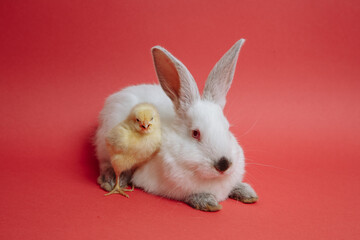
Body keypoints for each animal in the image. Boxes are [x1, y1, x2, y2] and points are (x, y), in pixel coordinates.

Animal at [95, 39, 258, 212]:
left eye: (227, 129)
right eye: (195, 133)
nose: (224, 164)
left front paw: (246, 192)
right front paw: (207, 201)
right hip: (107, 147)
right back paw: (111, 180)